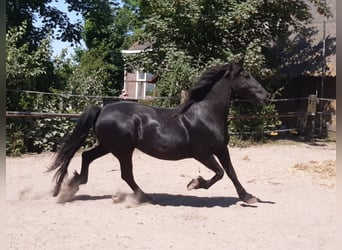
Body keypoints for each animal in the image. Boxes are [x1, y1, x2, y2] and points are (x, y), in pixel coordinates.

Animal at [48, 61, 268, 204]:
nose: (265, 95)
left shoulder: (222, 149)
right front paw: (194, 184)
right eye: (246, 76)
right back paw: (145, 197)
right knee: (126, 174)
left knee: (87, 156)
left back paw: (74, 184)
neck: (206, 114)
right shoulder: (202, 154)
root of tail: (102, 109)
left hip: (109, 146)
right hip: (122, 150)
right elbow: (220, 173)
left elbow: (231, 172)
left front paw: (248, 197)